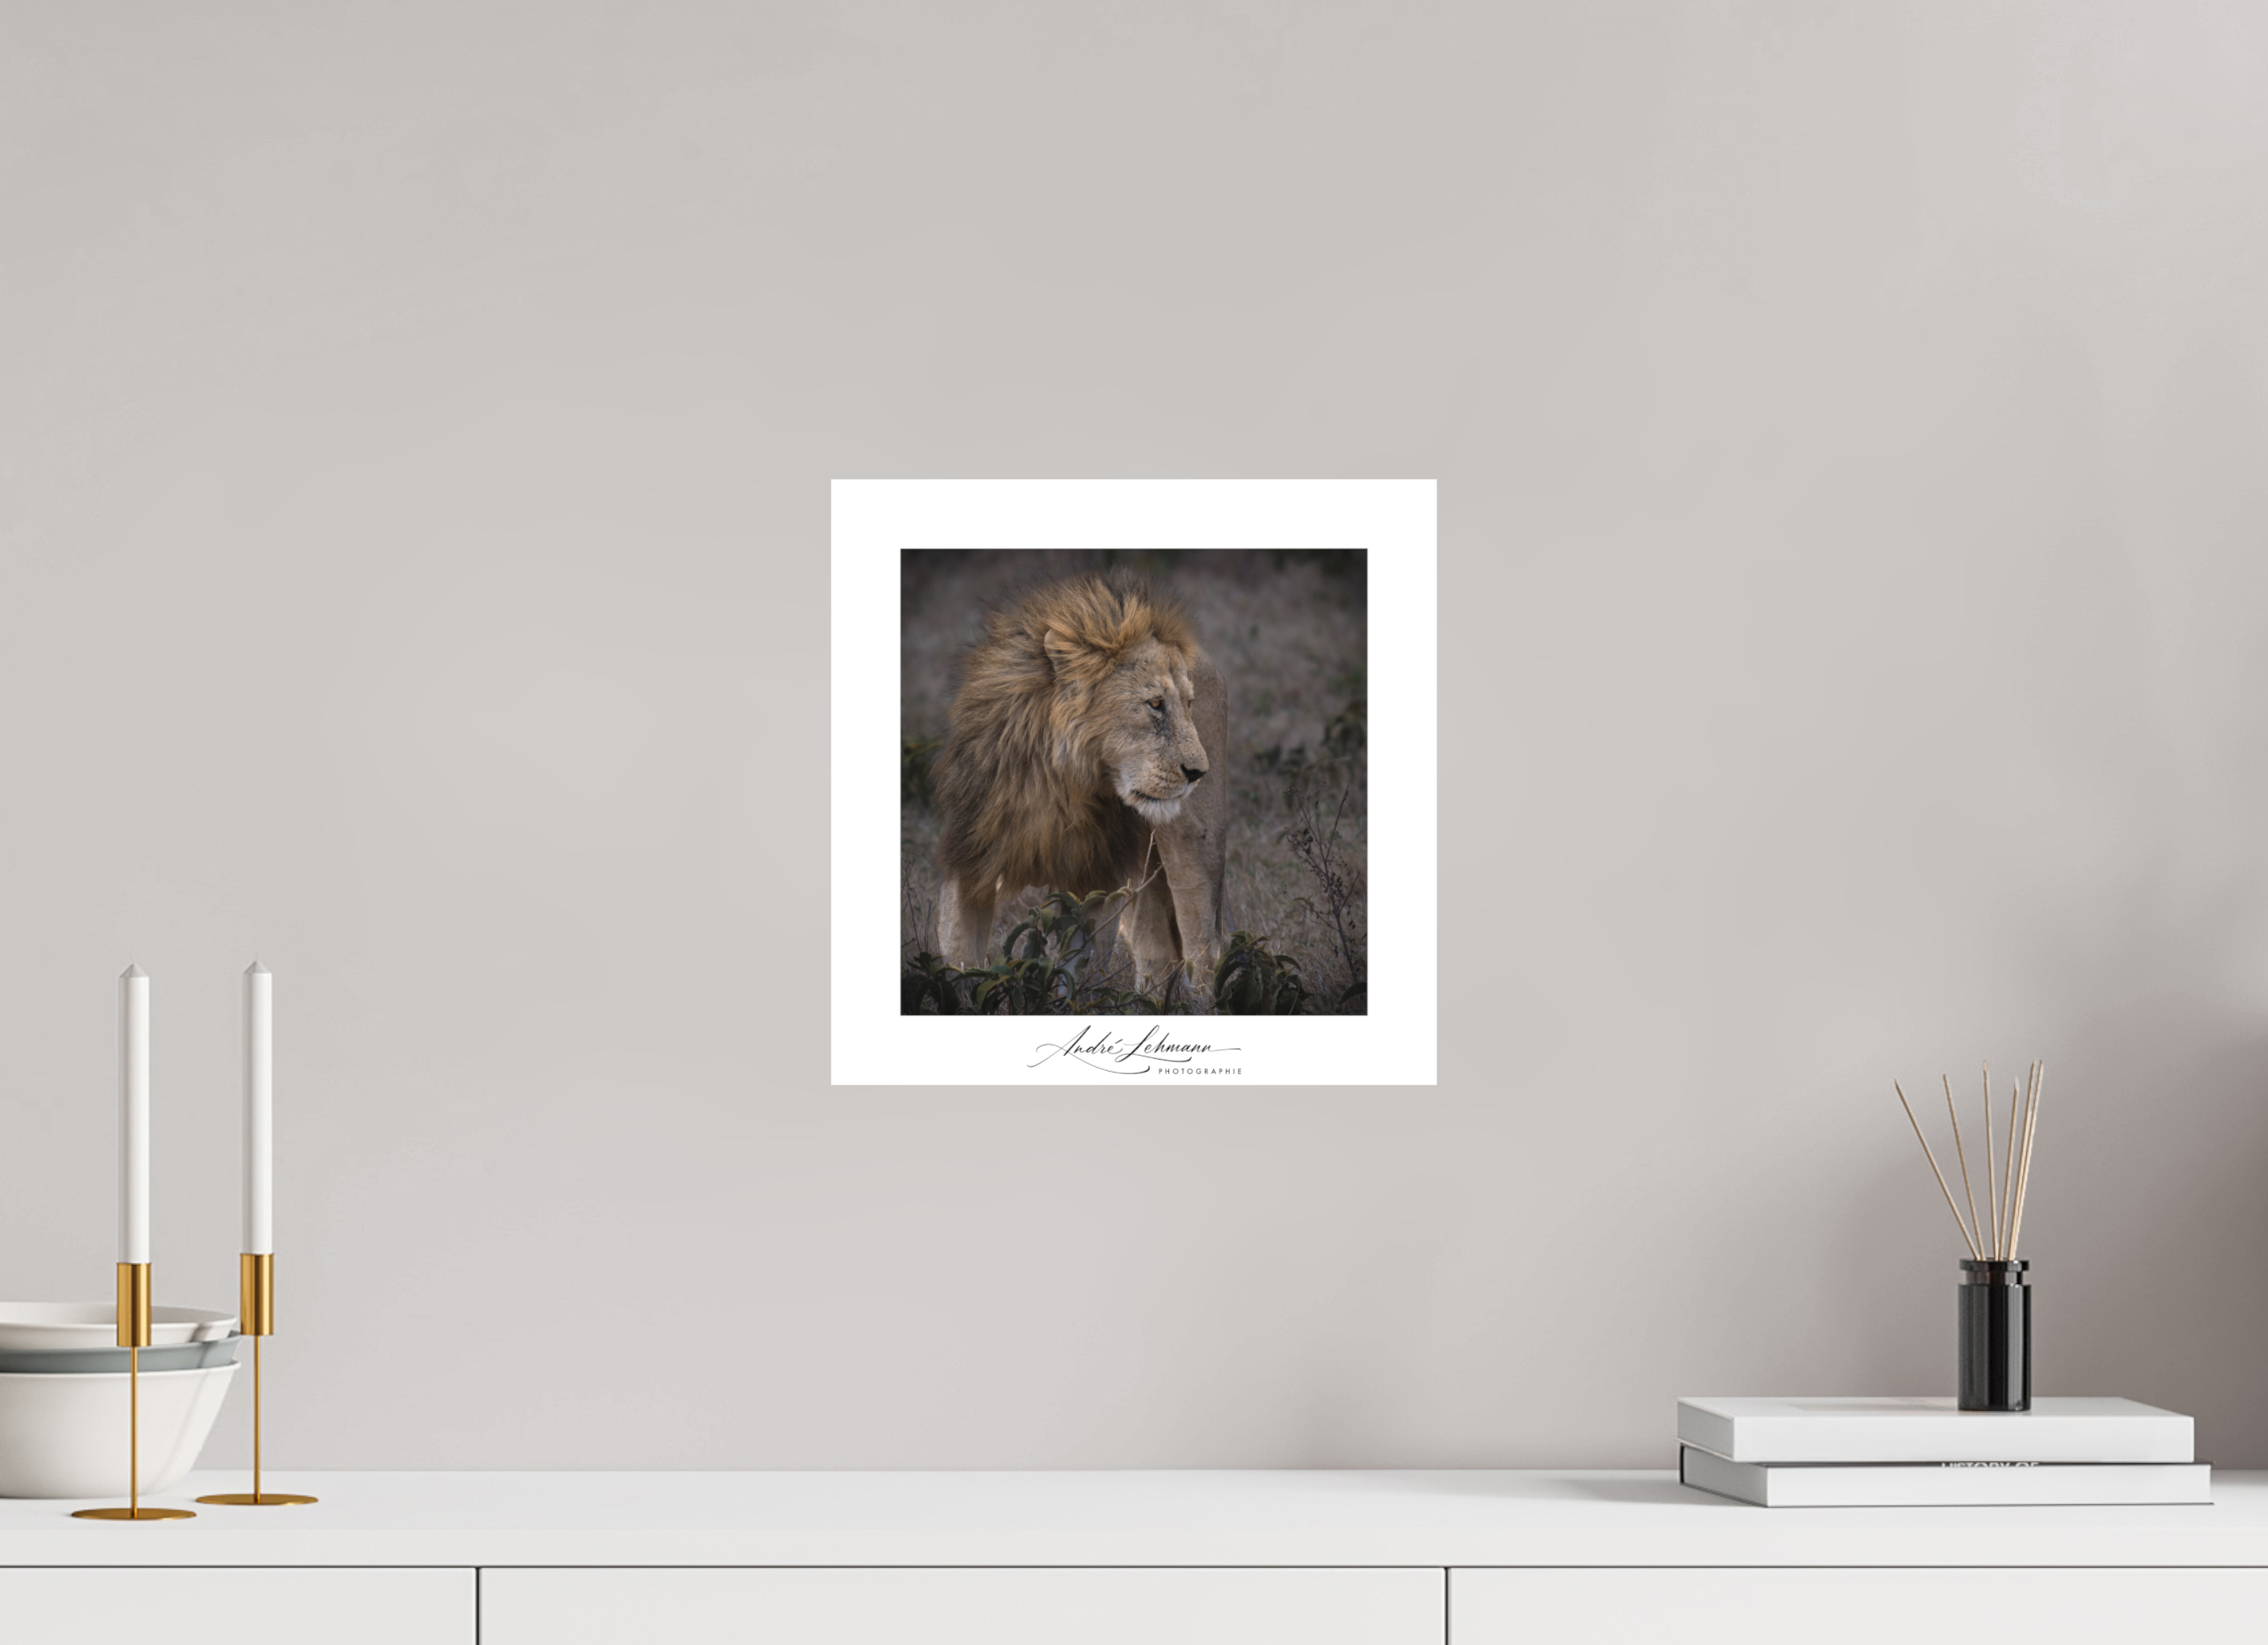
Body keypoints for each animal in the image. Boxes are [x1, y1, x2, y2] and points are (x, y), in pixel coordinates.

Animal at [932, 571, 1228, 1004]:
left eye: (1188, 705)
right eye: (1155, 703)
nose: (1198, 772)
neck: (1056, 784)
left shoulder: (1095, 874)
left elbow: (1076, 968)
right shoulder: (972, 854)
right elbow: (958, 959)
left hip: (1195, 842)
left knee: (1202, 946)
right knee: (1158, 951)